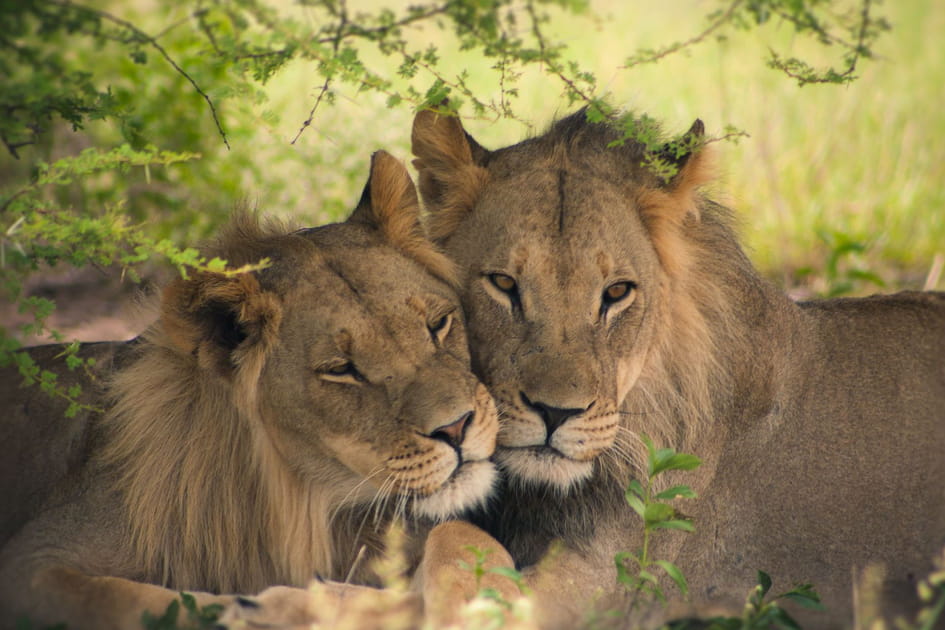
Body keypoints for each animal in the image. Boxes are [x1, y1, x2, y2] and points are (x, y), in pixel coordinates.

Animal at [1, 151, 502, 628]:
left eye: (438, 324)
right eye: (341, 370)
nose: (456, 427)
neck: (307, 504)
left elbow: (463, 537)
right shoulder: (35, 556)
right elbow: (125, 599)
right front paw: (247, 608)